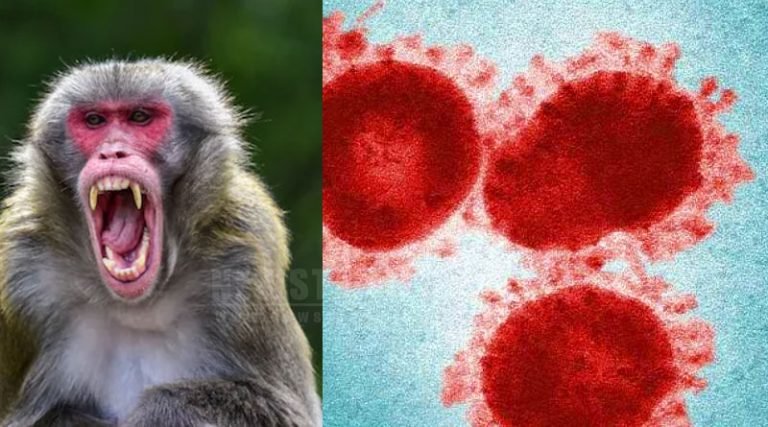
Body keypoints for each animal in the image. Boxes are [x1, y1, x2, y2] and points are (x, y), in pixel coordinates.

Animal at [0, 59, 321, 427]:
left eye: (140, 117)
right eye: (94, 121)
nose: (112, 152)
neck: (137, 305)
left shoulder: (243, 263)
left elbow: (286, 411)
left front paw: (162, 409)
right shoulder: (20, 269)